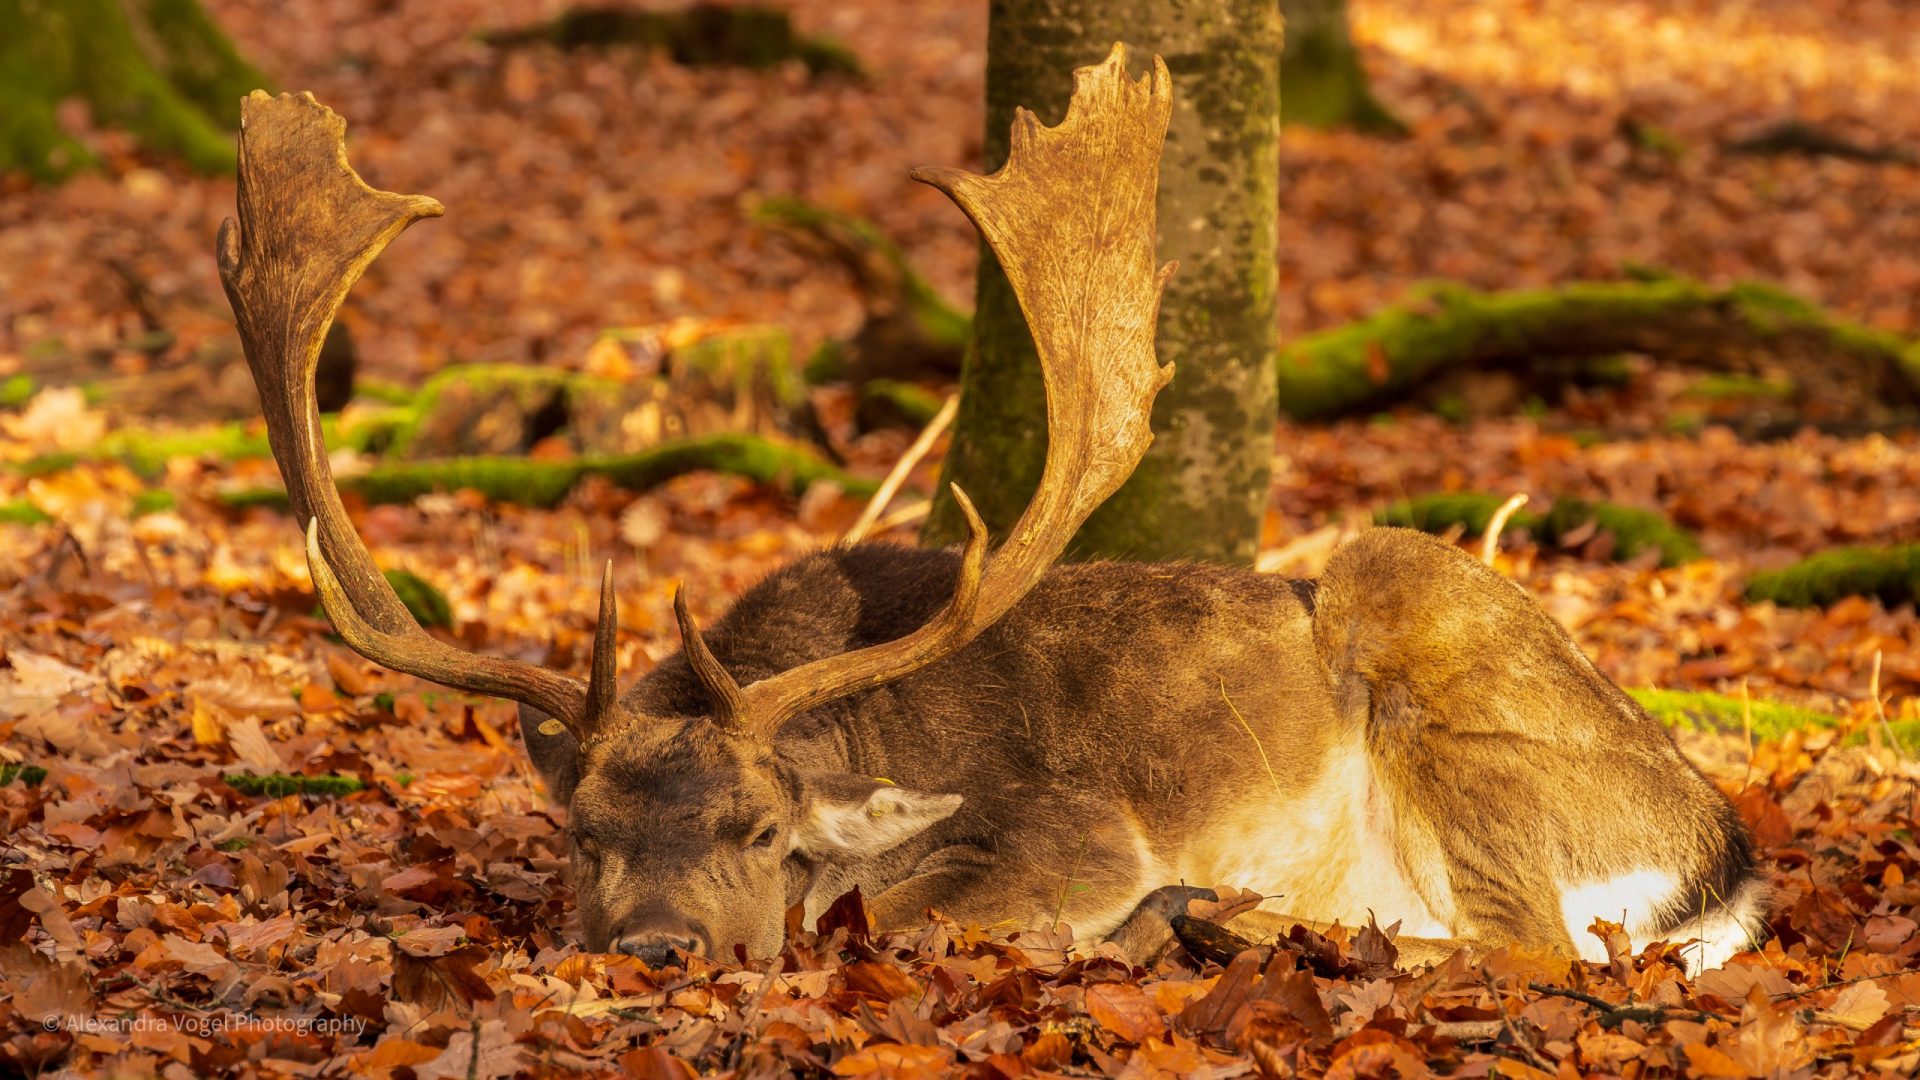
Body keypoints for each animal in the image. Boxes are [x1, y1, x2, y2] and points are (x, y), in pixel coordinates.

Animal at [220, 45, 1765, 977]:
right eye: (582, 835)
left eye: (760, 834)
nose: (655, 948)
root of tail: (1722, 858)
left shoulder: (1067, 829)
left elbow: (896, 911)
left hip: (1415, 616)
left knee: (1534, 947)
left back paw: (1233, 919)